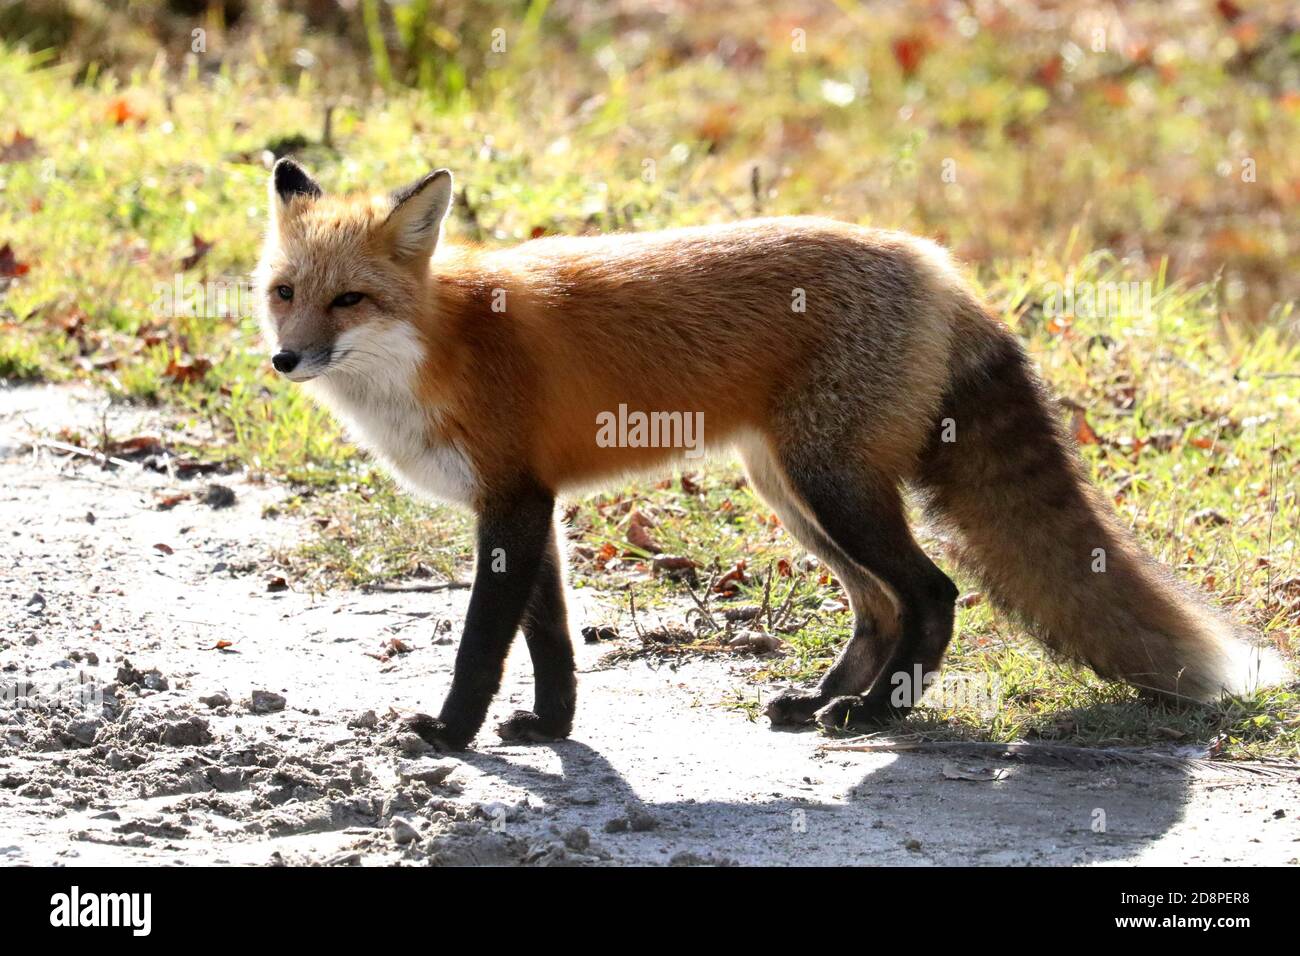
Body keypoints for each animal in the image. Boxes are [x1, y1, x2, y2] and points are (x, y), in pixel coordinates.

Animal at [256, 158, 1285, 751]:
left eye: (348, 300)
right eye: (284, 292)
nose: (285, 359)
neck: (441, 347)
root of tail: (938, 263)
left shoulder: (512, 503)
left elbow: (483, 642)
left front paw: (449, 733)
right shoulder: (525, 501)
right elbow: (550, 640)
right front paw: (550, 728)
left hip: (833, 487)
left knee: (932, 593)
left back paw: (877, 716)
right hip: (791, 489)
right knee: (879, 606)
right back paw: (824, 701)